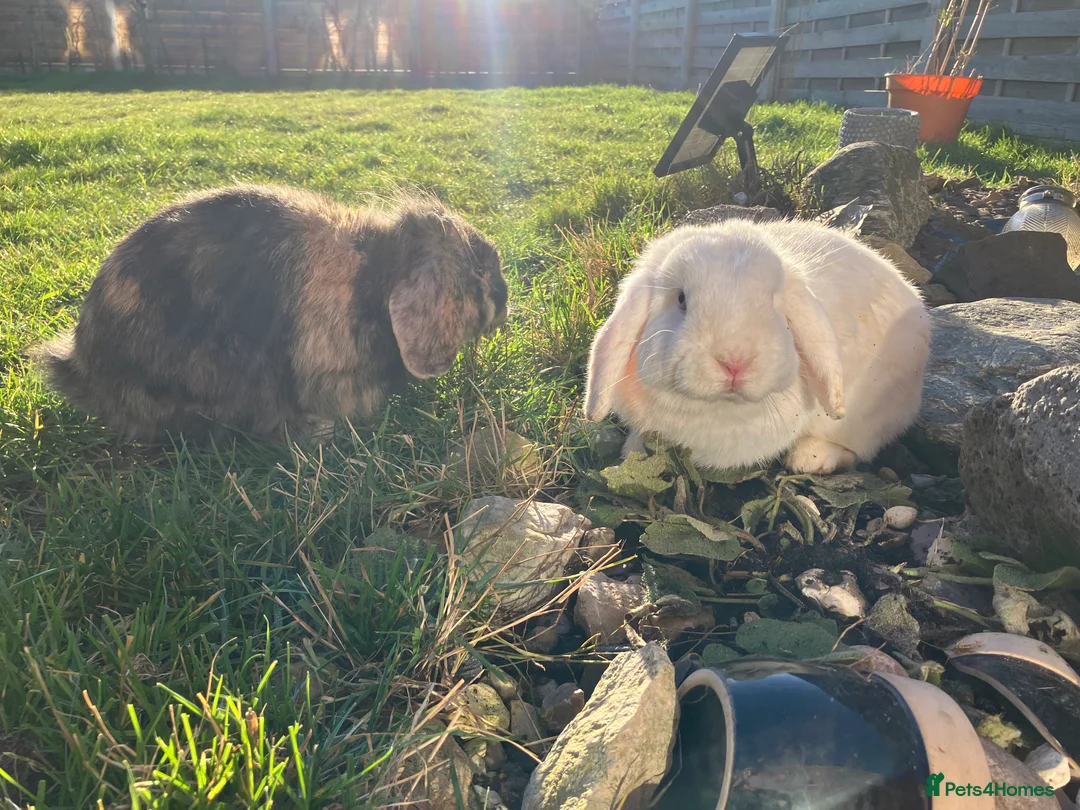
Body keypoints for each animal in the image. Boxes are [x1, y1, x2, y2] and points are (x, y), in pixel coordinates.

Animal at [583, 217, 931, 475]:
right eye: (681, 299)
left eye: (773, 302)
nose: (735, 361)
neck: (716, 408)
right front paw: (632, 451)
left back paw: (810, 458)